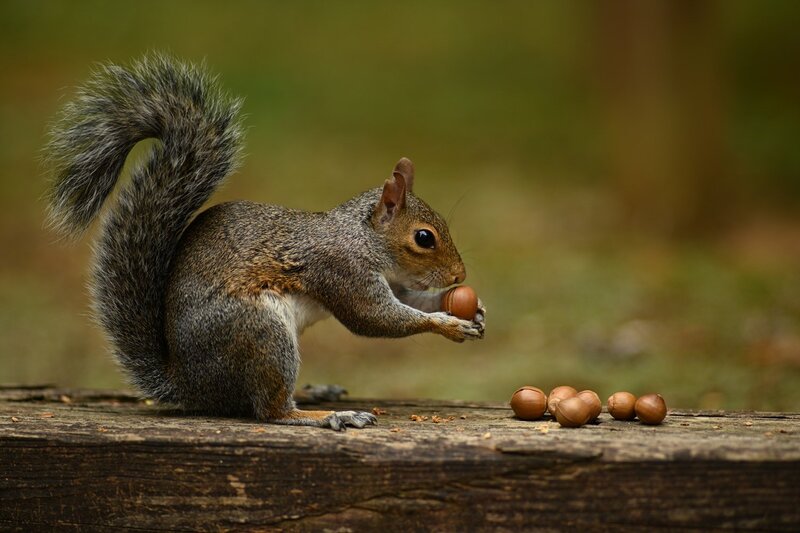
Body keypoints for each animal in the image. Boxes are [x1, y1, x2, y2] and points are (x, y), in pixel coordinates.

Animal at [44, 54, 485, 430]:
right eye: (424, 238)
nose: (459, 275)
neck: (362, 238)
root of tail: (189, 384)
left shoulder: (390, 281)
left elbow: (410, 300)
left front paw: (471, 311)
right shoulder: (341, 269)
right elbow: (375, 318)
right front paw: (447, 323)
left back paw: (314, 393)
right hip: (261, 333)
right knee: (270, 410)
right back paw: (327, 415)